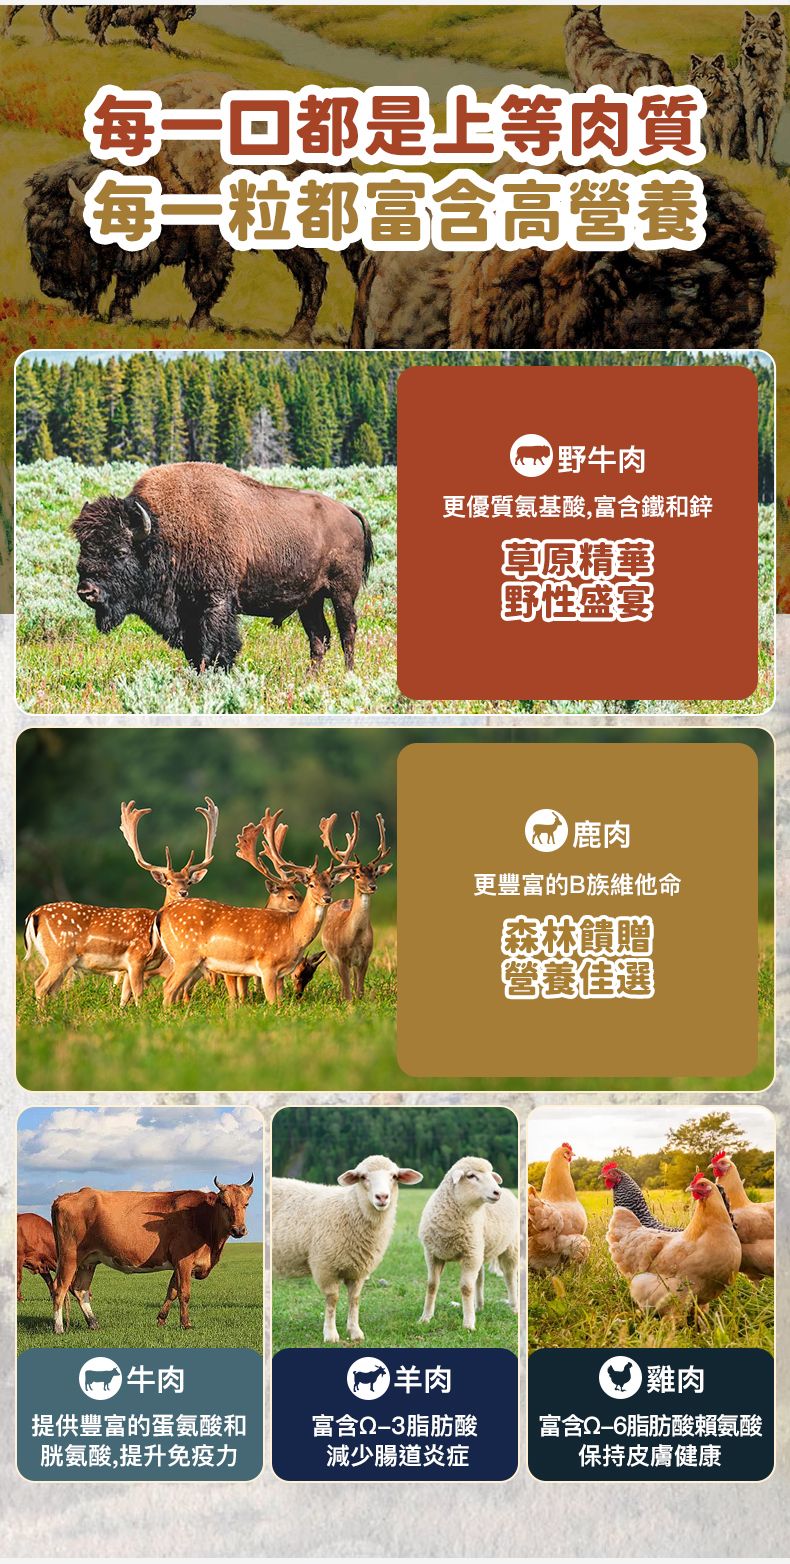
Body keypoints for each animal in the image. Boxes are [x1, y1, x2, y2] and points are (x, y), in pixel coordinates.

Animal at [23, 798, 217, 1007]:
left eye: (189, 881)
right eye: (168, 882)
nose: (183, 892)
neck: (156, 937)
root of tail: (33, 914)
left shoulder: (125, 968)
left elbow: (124, 998)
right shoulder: (136, 958)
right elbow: (139, 995)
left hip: (55, 959)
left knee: (51, 990)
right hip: (59, 954)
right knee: (40, 984)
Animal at [156, 808, 350, 1008]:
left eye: (331, 884)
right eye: (311, 885)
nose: (327, 898)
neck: (292, 933)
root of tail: (162, 914)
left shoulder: (278, 973)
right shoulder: (267, 966)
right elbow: (272, 1002)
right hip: (186, 955)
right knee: (168, 986)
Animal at [319, 812, 392, 1001]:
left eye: (375, 874)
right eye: (358, 875)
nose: (372, 887)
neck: (354, 936)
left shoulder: (366, 957)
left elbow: (359, 990)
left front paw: (360, 1000)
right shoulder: (341, 957)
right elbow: (347, 991)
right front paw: (347, 1001)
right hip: (332, 957)